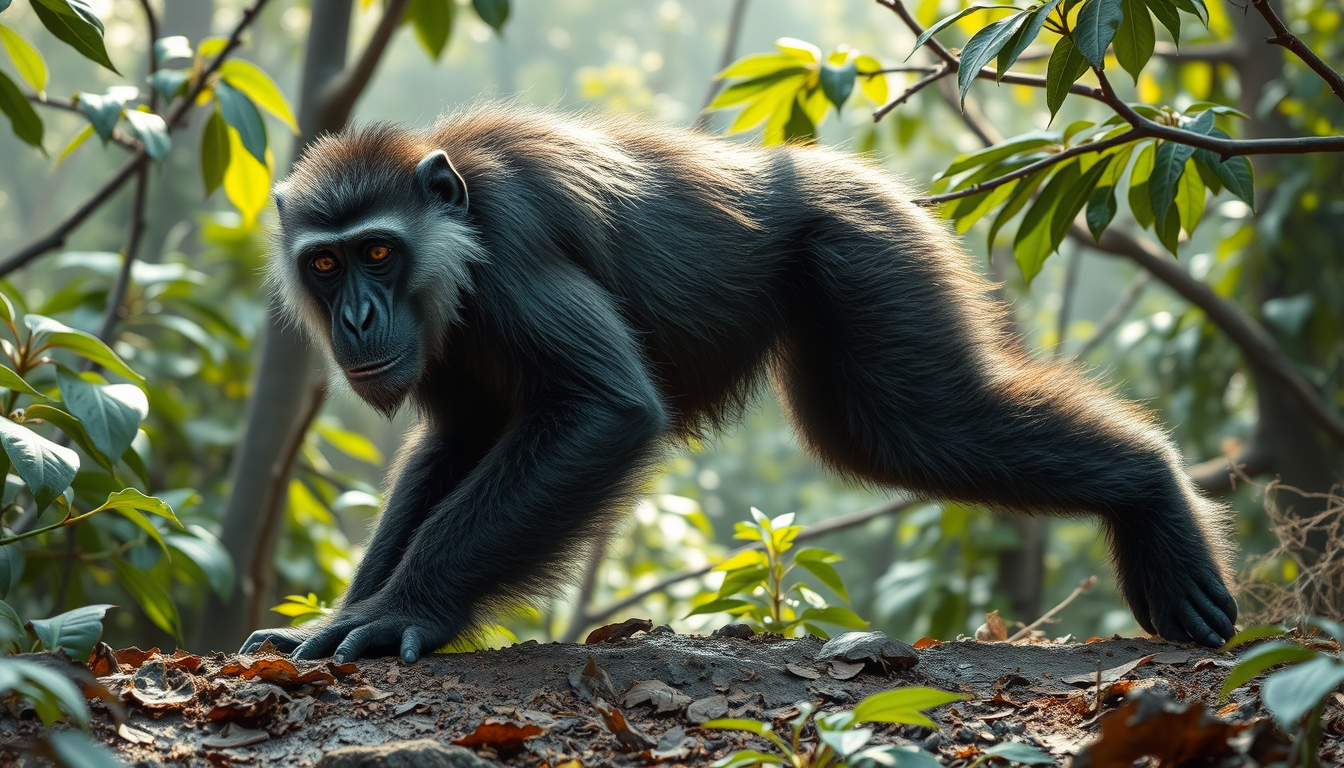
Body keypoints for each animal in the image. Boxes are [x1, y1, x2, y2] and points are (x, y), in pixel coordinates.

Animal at [241, 102, 1237, 663]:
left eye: (378, 252)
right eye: (325, 265)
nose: (357, 318)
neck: (456, 239)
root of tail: (847, 173)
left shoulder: (513, 250)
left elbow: (606, 412)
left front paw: (401, 612)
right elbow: (456, 444)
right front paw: (346, 613)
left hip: (869, 251)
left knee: (912, 426)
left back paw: (1153, 489)